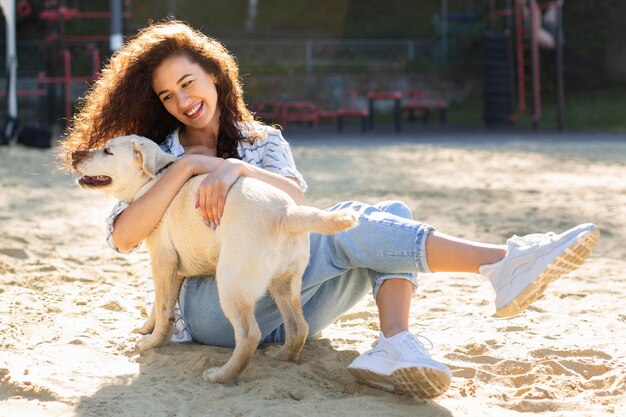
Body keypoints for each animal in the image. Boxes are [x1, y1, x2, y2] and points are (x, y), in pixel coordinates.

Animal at [74, 135, 356, 382]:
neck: (153, 181)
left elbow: (164, 308)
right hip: (286, 283)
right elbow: (158, 303)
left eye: (107, 151)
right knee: (298, 327)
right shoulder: (175, 270)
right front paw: (147, 327)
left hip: (232, 285)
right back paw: (282, 356)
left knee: (249, 335)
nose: (75, 154)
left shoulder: (163, 261)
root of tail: (286, 213)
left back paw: (221, 376)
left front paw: (151, 342)